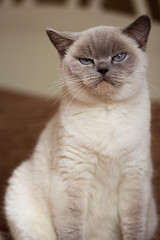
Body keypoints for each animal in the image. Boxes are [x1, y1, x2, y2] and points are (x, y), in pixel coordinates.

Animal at [3, 15, 158, 240]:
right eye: (86, 61)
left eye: (119, 57)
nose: (102, 69)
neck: (106, 111)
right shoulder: (72, 177)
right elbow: (71, 228)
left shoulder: (134, 178)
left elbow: (134, 227)